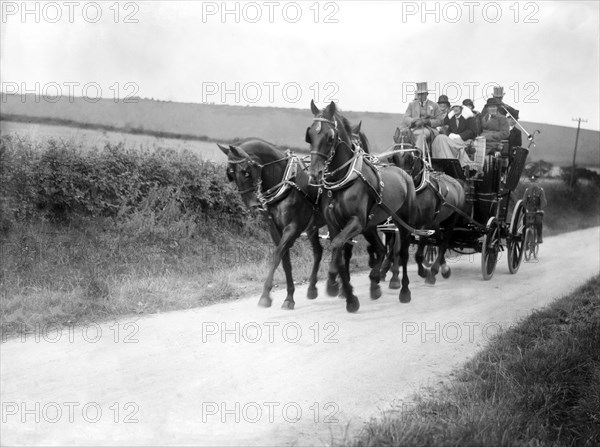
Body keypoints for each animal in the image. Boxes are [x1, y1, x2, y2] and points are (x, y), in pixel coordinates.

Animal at [308, 101, 414, 314]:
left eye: (330, 137)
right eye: (310, 135)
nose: (314, 174)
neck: (343, 181)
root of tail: (404, 174)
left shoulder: (356, 222)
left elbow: (337, 246)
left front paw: (332, 283)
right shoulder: (335, 224)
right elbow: (341, 254)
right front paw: (348, 296)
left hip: (401, 224)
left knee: (403, 253)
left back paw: (403, 290)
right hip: (370, 226)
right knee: (381, 249)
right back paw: (375, 283)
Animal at [386, 128, 472, 286]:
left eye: (410, 157)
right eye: (393, 157)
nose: (401, 183)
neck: (416, 191)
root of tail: (457, 182)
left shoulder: (425, 224)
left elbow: (419, 254)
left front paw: (424, 272)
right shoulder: (403, 223)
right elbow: (397, 248)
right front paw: (392, 274)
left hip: (451, 220)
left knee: (444, 242)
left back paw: (436, 270)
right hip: (437, 222)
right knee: (440, 238)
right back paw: (443, 267)